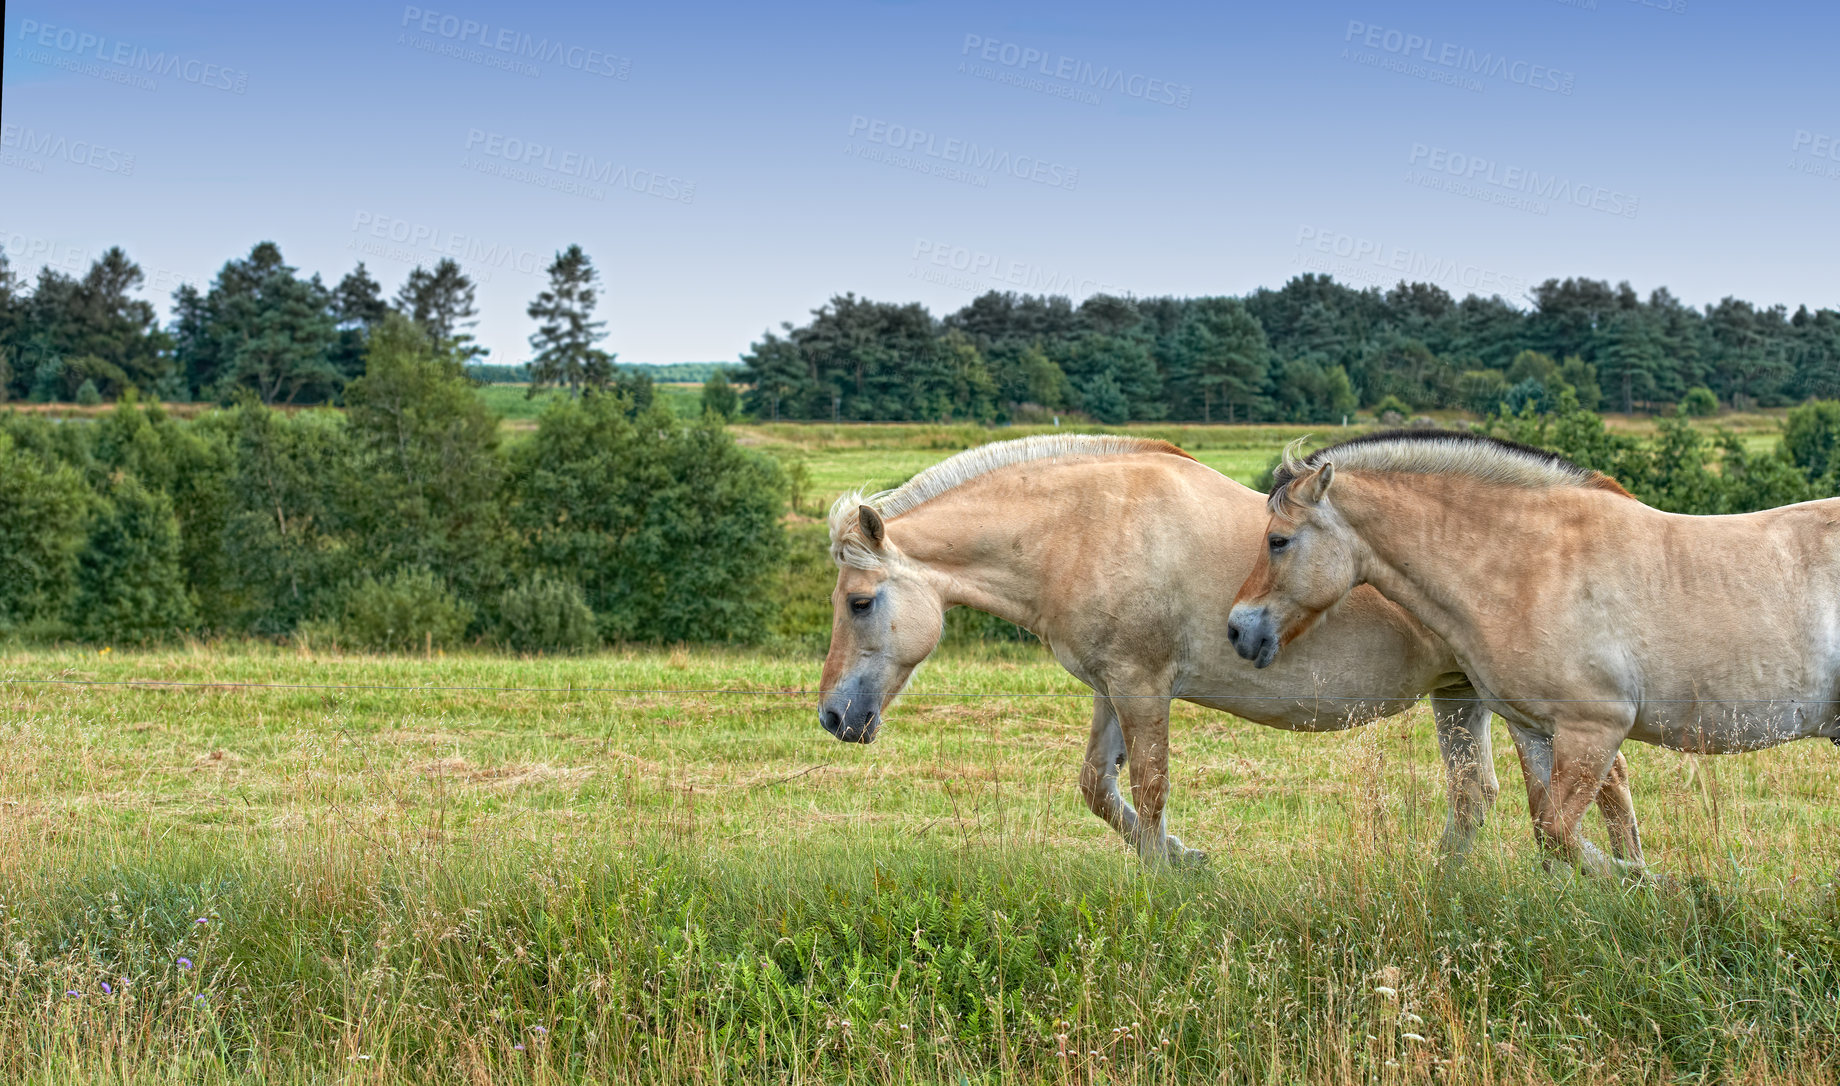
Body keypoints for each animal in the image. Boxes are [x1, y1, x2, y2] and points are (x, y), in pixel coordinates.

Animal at [820, 434, 1641, 868]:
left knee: (1599, 792)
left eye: (860, 603)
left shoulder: (1142, 685)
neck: (1083, 527)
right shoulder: (1112, 690)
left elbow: (1148, 789)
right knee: (1484, 797)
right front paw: (1185, 861)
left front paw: (1165, 877)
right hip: (1466, 696)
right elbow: (1100, 790)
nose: (833, 716)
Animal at [1221, 432, 1840, 876]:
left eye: (1278, 540)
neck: (1530, 564)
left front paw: (1669, 887)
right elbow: (1551, 832)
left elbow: (1561, 833)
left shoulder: (1594, 731)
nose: (1238, 630)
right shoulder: (1542, 731)